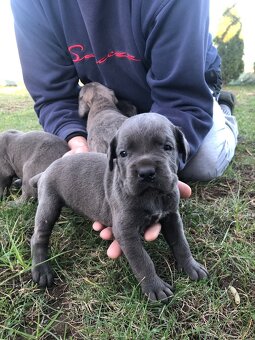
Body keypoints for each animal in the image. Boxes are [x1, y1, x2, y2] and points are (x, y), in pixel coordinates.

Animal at [30, 113, 209, 302]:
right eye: (123, 153)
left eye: (167, 147)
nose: (146, 172)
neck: (152, 196)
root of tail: (45, 171)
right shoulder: (126, 231)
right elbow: (142, 260)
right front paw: (155, 287)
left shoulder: (172, 217)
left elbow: (181, 243)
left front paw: (191, 266)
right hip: (48, 205)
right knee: (38, 237)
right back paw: (42, 270)